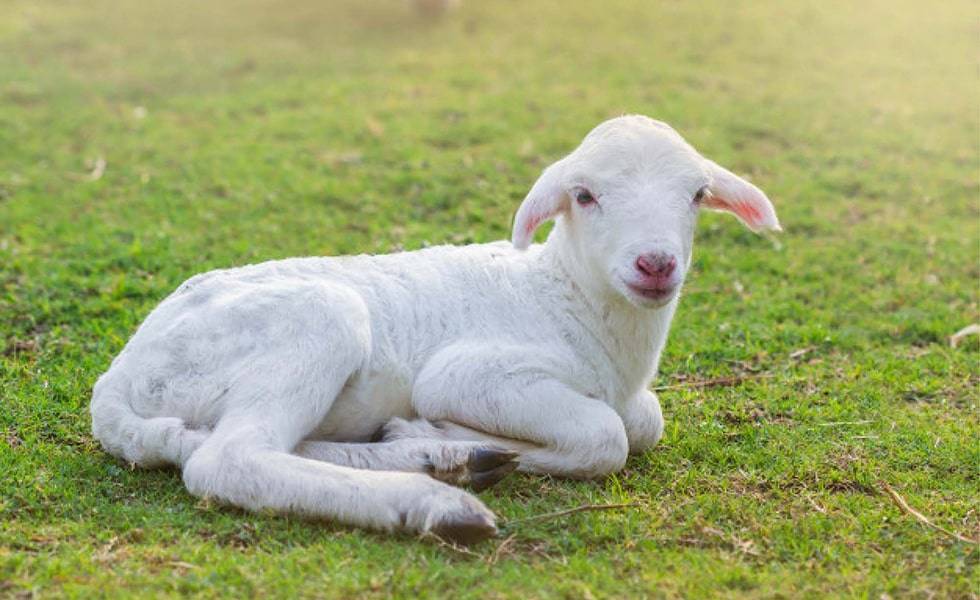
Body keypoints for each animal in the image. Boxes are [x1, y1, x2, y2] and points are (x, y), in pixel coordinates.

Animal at [90, 115, 780, 548]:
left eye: (697, 194)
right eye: (584, 196)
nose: (655, 264)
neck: (569, 300)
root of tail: (116, 382)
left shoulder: (633, 395)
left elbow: (645, 422)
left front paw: (445, 440)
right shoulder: (469, 375)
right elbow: (607, 435)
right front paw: (479, 439)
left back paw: (444, 458)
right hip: (317, 320)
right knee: (227, 460)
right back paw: (435, 503)